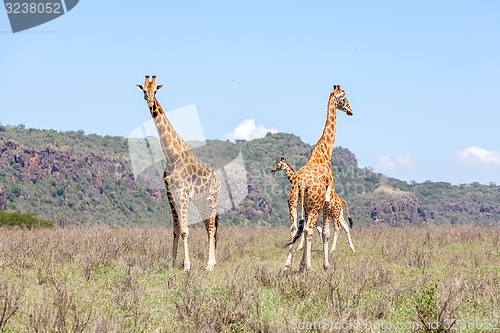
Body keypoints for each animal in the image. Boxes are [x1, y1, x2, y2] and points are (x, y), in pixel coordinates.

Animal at [138, 75, 222, 270]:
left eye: (156, 91)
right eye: (144, 90)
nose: (150, 101)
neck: (172, 155)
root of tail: (218, 179)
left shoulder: (183, 194)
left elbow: (184, 230)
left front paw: (187, 265)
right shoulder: (171, 194)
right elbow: (176, 229)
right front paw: (172, 262)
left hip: (212, 198)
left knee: (212, 227)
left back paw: (209, 265)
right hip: (200, 201)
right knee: (208, 227)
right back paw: (212, 262)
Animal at [286, 85, 352, 270]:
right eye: (344, 100)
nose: (351, 111)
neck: (324, 153)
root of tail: (300, 183)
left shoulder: (308, 206)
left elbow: (310, 230)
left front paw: (301, 263)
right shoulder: (327, 200)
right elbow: (325, 232)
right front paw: (325, 264)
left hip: (293, 202)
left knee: (294, 228)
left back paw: (288, 265)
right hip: (315, 205)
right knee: (308, 229)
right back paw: (308, 267)